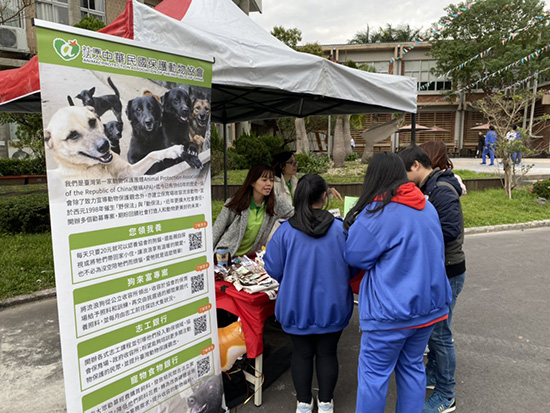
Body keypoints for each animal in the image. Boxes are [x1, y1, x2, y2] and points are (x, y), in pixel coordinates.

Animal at [44, 105, 184, 179]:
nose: (105, 146)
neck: (102, 166)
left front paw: (173, 150)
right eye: (72, 136)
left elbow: (152, 154)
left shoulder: (130, 171)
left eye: (92, 121)